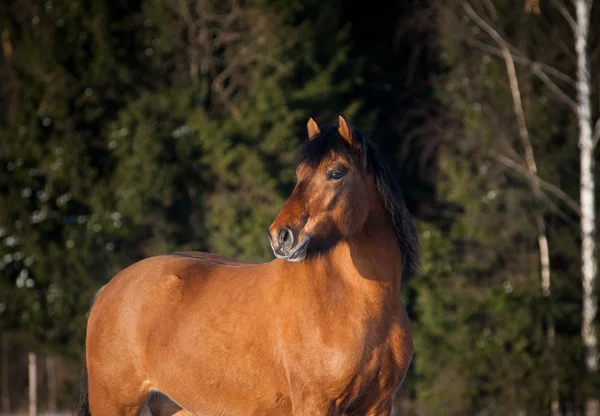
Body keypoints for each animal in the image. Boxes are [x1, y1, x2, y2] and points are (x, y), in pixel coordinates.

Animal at [74, 114, 422, 416]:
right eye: (300, 174)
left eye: (336, 172)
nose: (281, 236)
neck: (352, 304)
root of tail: (108, 289)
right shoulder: (316, 404)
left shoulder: (378, 406)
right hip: (116, 404)